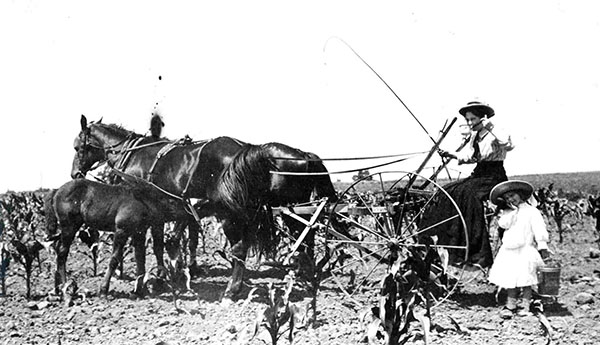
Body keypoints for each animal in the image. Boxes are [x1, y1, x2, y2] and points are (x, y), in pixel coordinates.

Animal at [49, 176, 184, 294]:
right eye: (173, 202)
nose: (188, 213)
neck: (143, 201)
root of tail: (57, 191)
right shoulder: (121, 231)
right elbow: (114, 259)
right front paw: (104, 289)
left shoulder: (139, 232)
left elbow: (140, 259)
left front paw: (140, 290)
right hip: (69, 227)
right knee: (62, 252)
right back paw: (65, 286)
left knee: (57, 248)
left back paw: (57, 287)